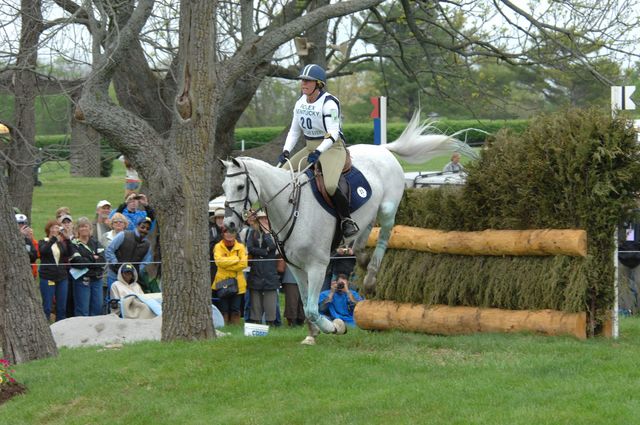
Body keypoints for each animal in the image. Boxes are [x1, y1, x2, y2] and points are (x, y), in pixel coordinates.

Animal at [220, 110, 476, 344]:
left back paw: (370, 276)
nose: (230, 223)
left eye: (240, 186)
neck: (291, 205)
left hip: (387, 208)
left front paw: (335, 327)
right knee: (364, 233)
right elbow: (306, 303)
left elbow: (312, 308)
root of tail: (382, 149)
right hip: (366, 214)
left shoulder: (317, 265)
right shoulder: (296, 267)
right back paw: (360, 255)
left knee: (385, 234)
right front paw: (312, 335)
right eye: (224, 186)